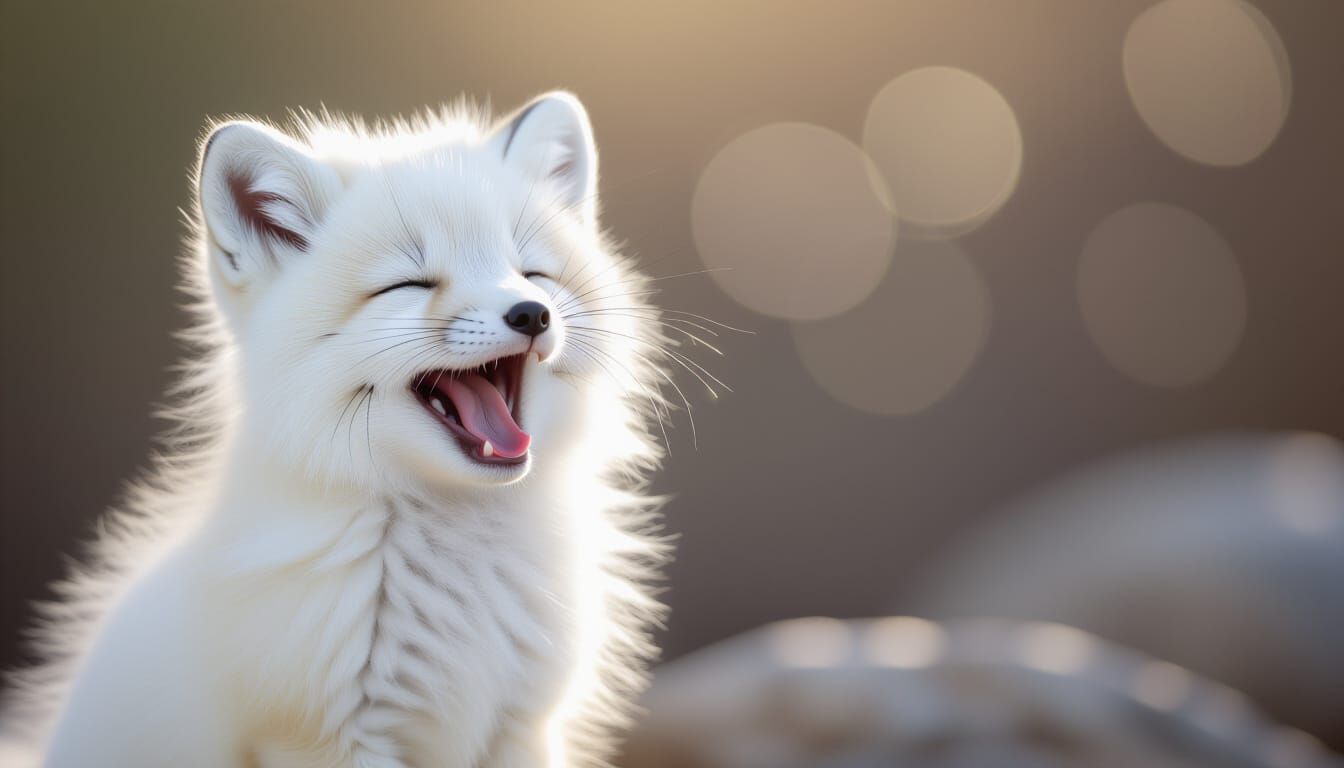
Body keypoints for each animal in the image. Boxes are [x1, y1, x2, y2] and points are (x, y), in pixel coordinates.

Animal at [0, 92, 673, 768]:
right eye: (409, 285)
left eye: (532, 274)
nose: (532, 314)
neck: (458, 571)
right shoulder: (324, 739)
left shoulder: (523, 728)